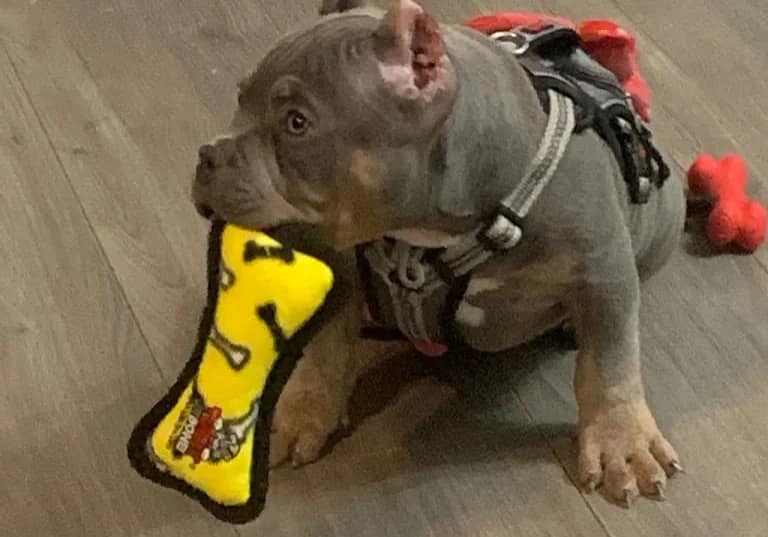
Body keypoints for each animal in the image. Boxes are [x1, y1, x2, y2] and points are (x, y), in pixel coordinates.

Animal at [190, 0, 684, 502]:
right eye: (240, 97)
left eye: (296, 123)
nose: (207, 155)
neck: (432, 231)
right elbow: (328, 348)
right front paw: (304, 411)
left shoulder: (602, 274)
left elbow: (608, 363)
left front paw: (621, 443)